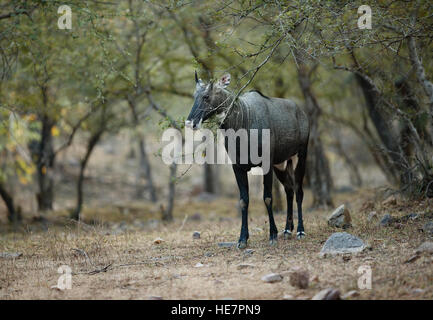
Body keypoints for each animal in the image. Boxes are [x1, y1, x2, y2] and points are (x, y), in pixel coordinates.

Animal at [184, 72, 308, 248]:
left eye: (206, 96)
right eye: (195, 95)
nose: (190, 122)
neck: (244, 119)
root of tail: (301, 112)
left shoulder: (266, 164)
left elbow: (268, 198)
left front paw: (272, 235)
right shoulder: (238, 167)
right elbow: (243, 200)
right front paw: (242, 239)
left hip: (300, 156)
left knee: (298, 190)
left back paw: (300, 231)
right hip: (281, 163)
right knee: (289, 190)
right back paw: (287, 230)